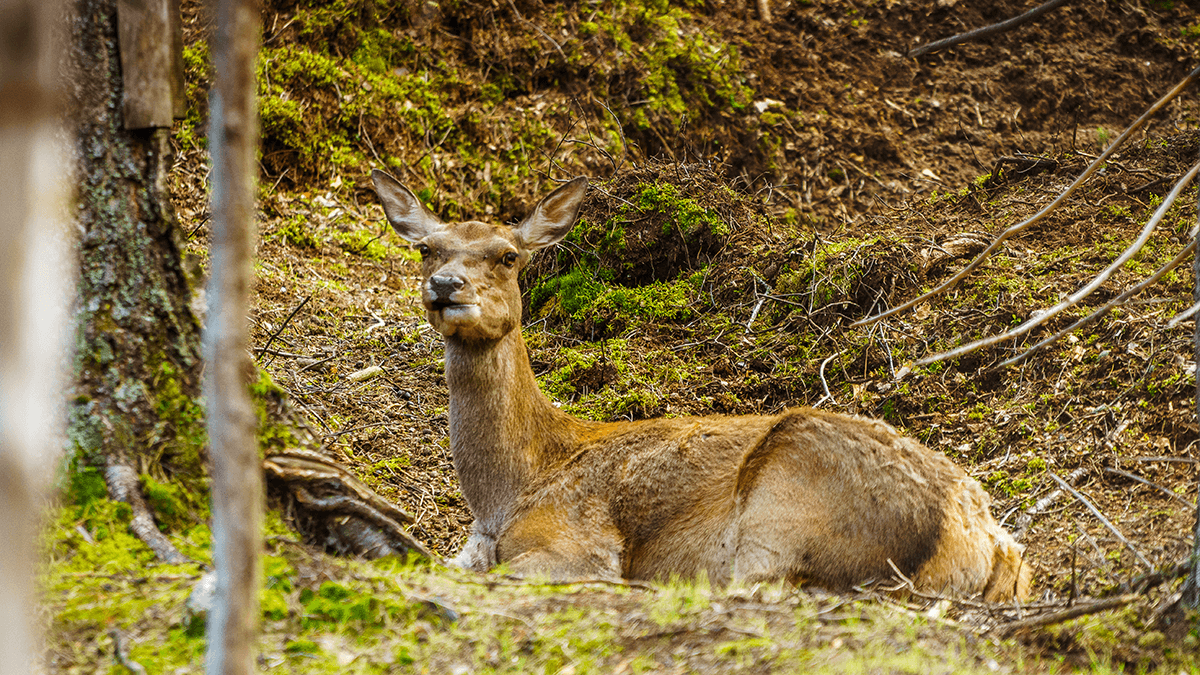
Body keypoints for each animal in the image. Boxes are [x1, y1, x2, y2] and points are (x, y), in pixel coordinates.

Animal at [372, 168, 1032, 598]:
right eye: (427, 248)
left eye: (509, 255)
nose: (446, 285)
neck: (509, 492)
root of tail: (986, 542)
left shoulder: (581, 542)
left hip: (790, 499)